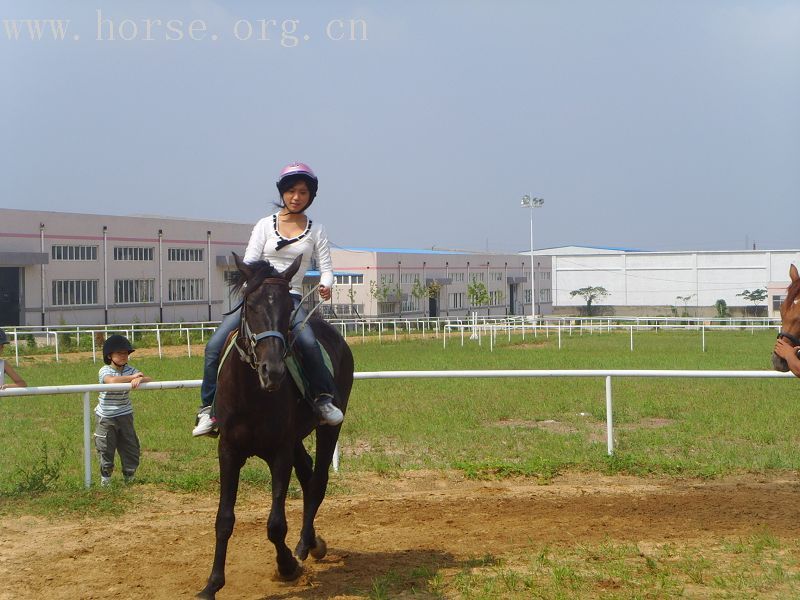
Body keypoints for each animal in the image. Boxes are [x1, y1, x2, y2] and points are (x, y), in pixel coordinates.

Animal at [197, 253, 354, 600]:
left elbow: (275, 524)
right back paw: (312, 543)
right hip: (296, 439)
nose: (274, 371)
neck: (252, 394)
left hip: (327, 429)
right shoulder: (228, 451)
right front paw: (212, 584)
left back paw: (305, 545)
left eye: (286, 311)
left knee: (317, 482)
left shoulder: (279, 453)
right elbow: (223, 519)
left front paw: (287, 567)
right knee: (307, 475)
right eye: (251, 305)